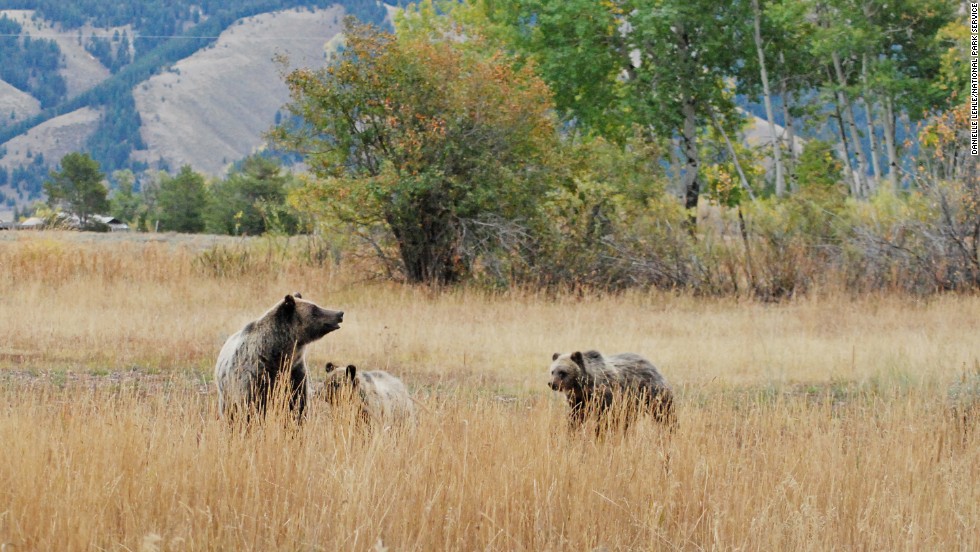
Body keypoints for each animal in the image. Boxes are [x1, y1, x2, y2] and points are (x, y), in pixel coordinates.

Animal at [212, 294, 342, 422]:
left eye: (316, 305)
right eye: (314, 309)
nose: (339, 313)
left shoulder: (294, 373)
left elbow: (298, 404)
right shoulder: (255, 377)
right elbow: (251, 407)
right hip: (226, 393)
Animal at [544, 350, 672, 432]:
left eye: (562, 372)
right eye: (552, 371)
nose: (552, 384)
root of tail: (652, 364)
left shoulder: (606, 396)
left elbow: (605, 419)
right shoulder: (579, 400)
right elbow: (576, 416)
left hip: (651, 392)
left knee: (665, 414)